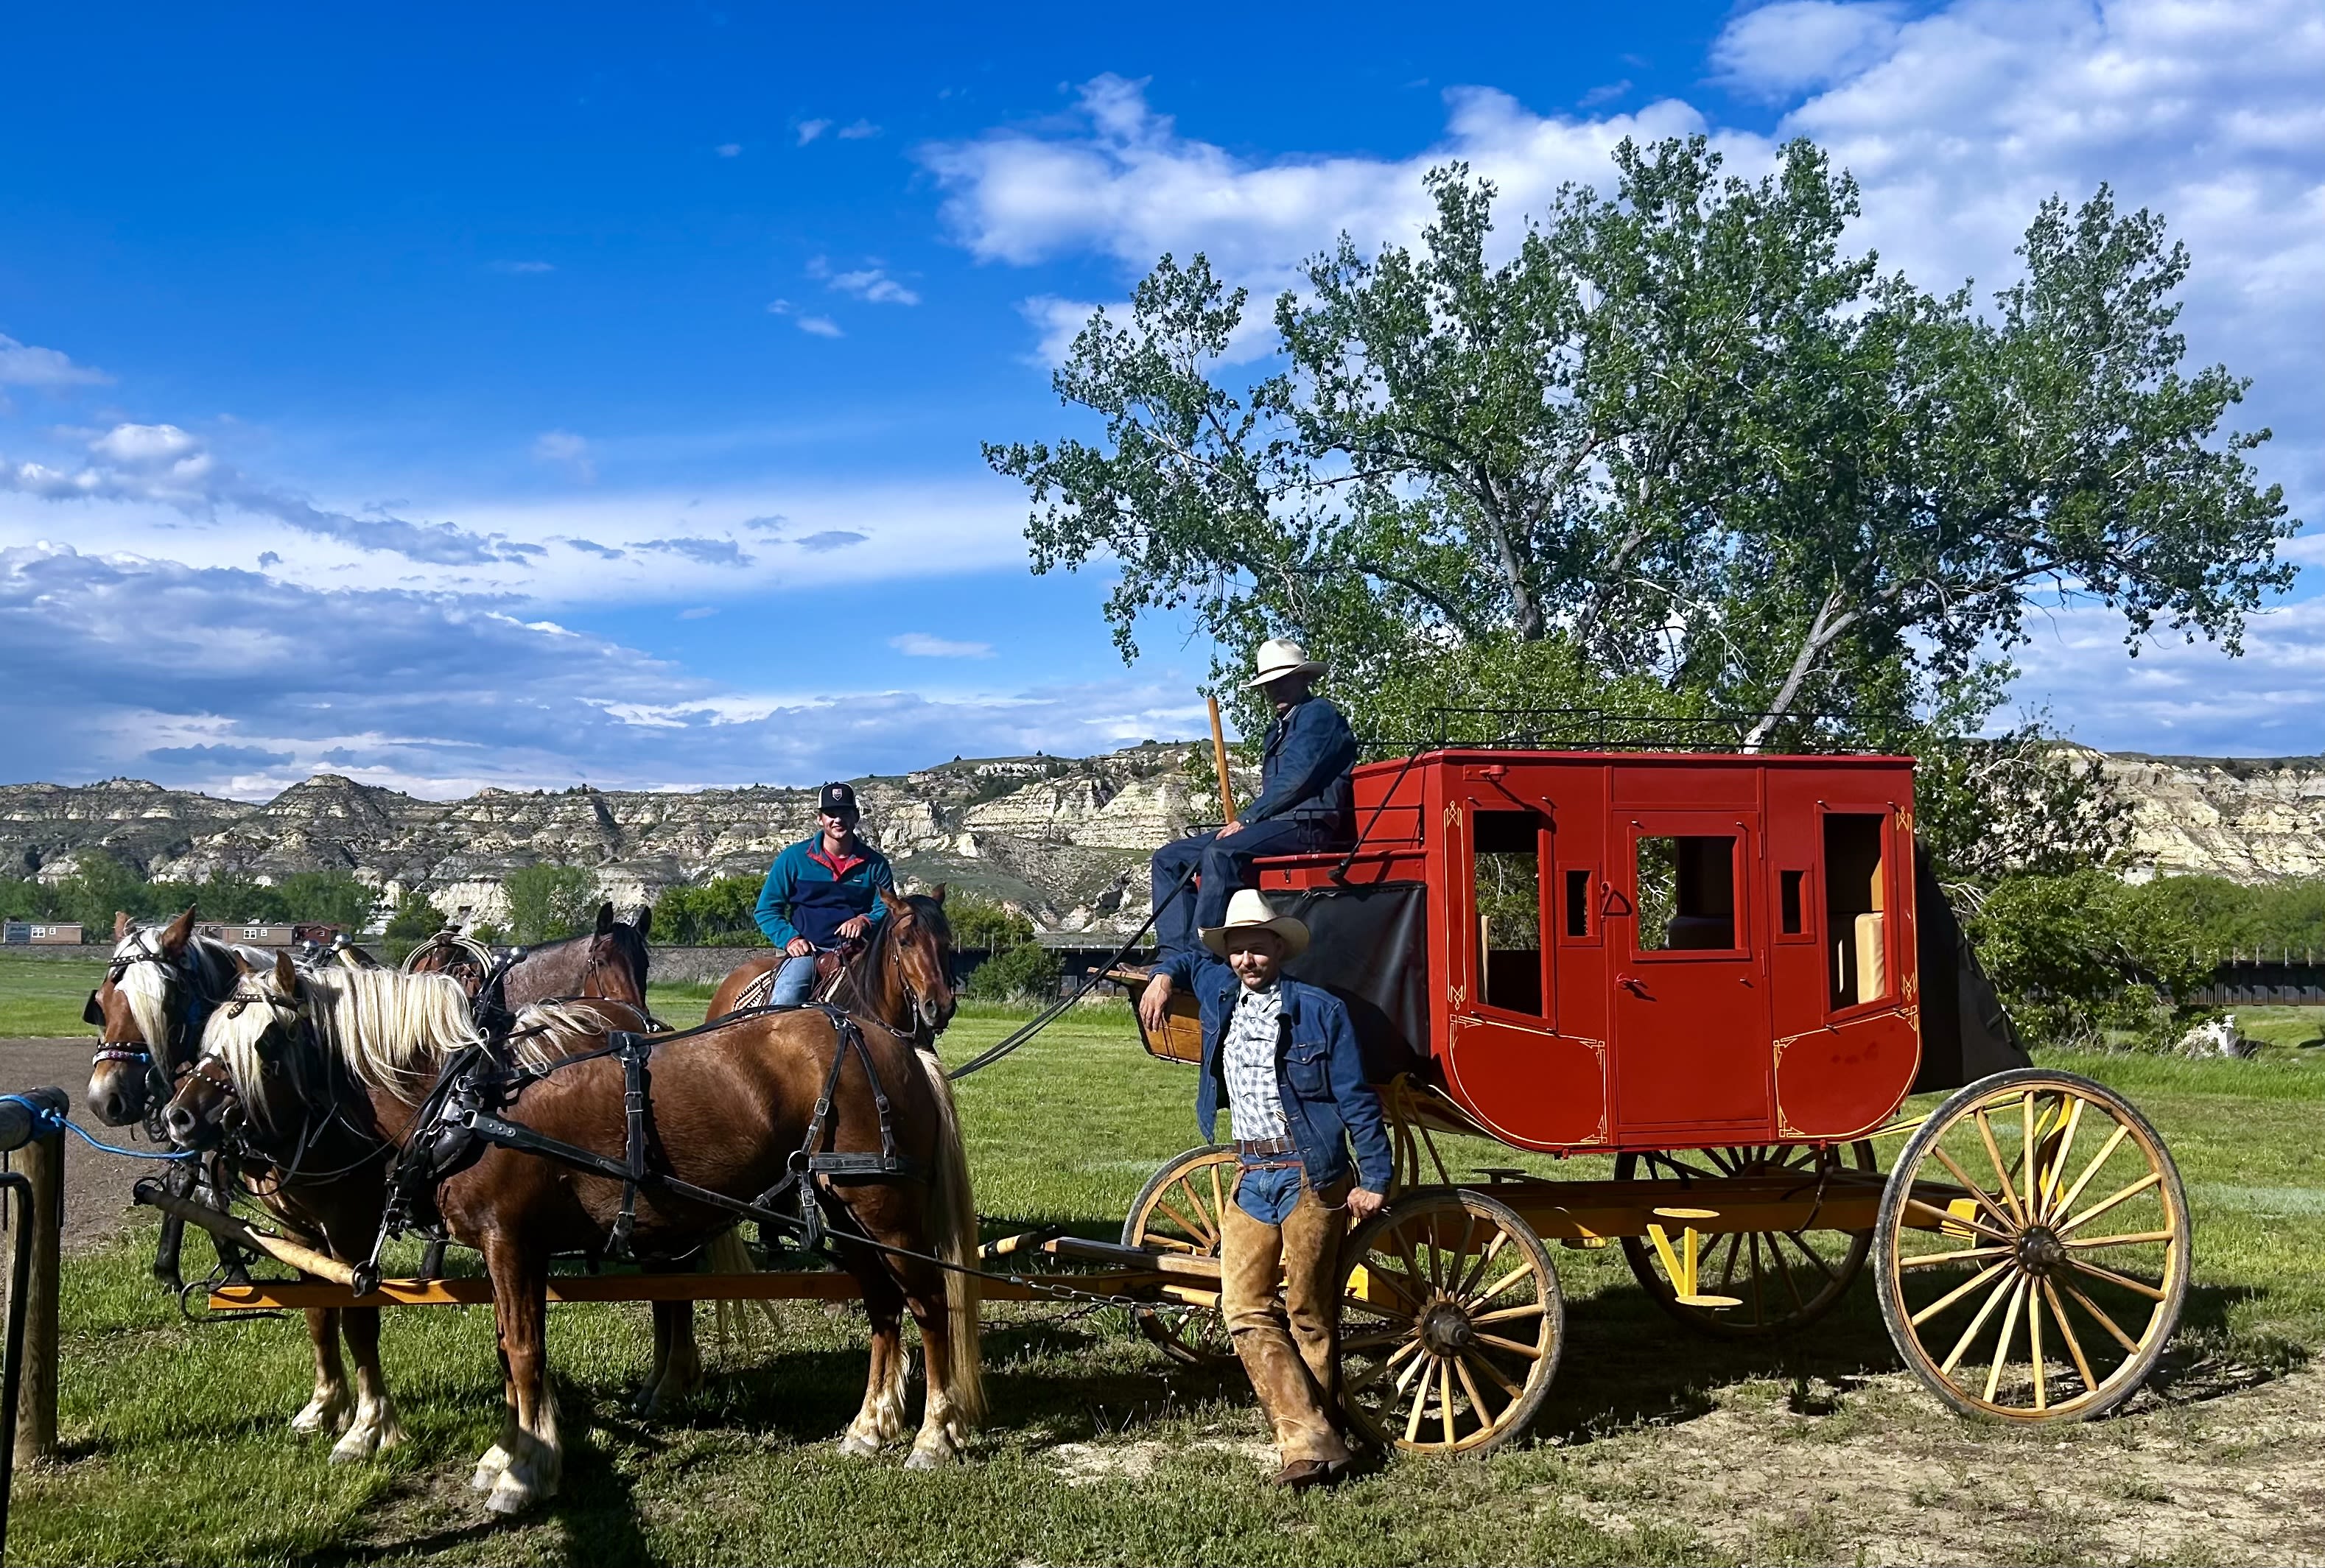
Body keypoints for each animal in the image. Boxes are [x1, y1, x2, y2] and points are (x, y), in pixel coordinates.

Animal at [164, 887, 981, 1514]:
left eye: (267, 1042)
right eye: (209, 1034)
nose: (177, 1115)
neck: (470, 1094)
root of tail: (898, 1043)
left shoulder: (509, 1240)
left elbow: (523, 1351)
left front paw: (524, 1472)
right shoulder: (501, 1250)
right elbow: (503, 1345)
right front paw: (510, 1452)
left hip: (886, 1211)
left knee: (928, 1305)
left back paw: (933, 1434)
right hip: (844, 1212)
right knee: (882, 1307)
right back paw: (868, 1426)